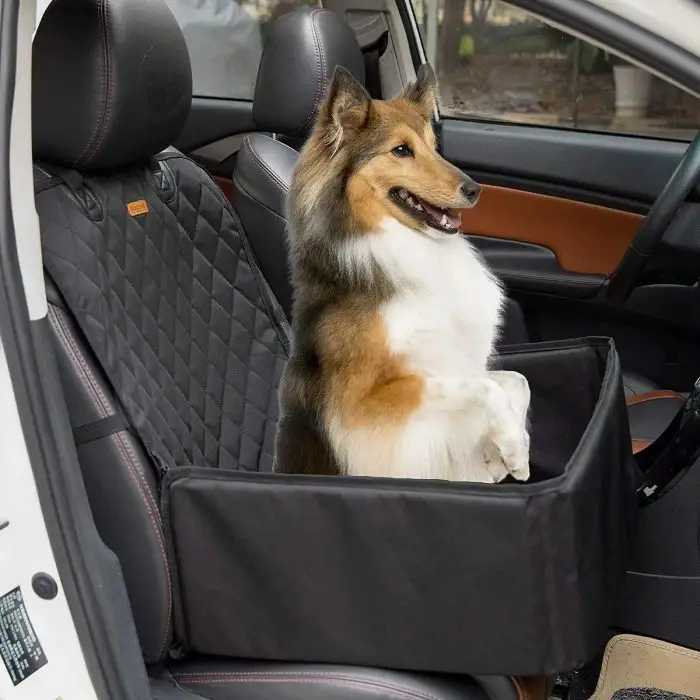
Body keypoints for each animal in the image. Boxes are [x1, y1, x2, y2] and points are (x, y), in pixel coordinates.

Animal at [274, 64, 532, 482]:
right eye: (400, 150)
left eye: (432, 145)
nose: (475, 190)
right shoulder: (364, 403)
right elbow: (482, 388)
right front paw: (512, 451)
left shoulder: (460, 363)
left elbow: (514, 380)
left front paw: (501, 455)